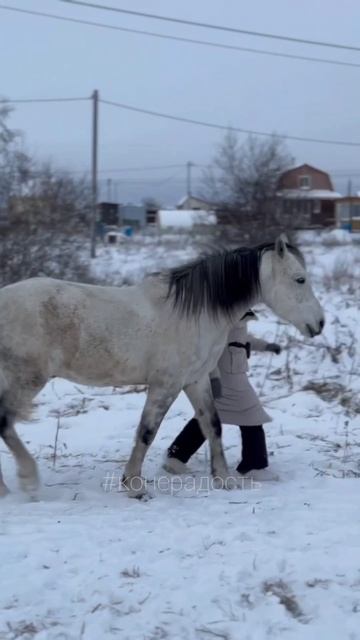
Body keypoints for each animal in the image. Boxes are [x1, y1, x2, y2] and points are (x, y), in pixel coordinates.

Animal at [0, 236, 324, 500]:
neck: (195, 314)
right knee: (4, 422)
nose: (319, 323)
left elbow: (213, 426)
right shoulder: (166, 385)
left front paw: (224, 479)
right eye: (299, 279)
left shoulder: (196, 381)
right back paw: (29, 481)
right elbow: (147, 432)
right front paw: (134, 485)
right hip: (28, 379)